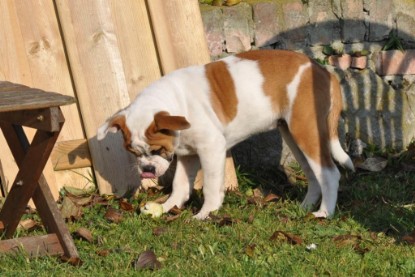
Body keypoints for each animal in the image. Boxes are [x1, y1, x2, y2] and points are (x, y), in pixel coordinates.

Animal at [97, 49, 354, 218]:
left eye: (157, 149)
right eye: (133, 152)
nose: (147, 169)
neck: (177, 103)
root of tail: (323, 71)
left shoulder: (211, 149)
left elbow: (210, 185)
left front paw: (205, 214)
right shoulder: (188, 155)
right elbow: (180, 184)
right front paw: (170, 206)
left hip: (307, 132)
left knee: (329, 174)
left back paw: (324, 213)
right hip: (294, 137)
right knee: (314, 175)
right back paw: (305, 207)